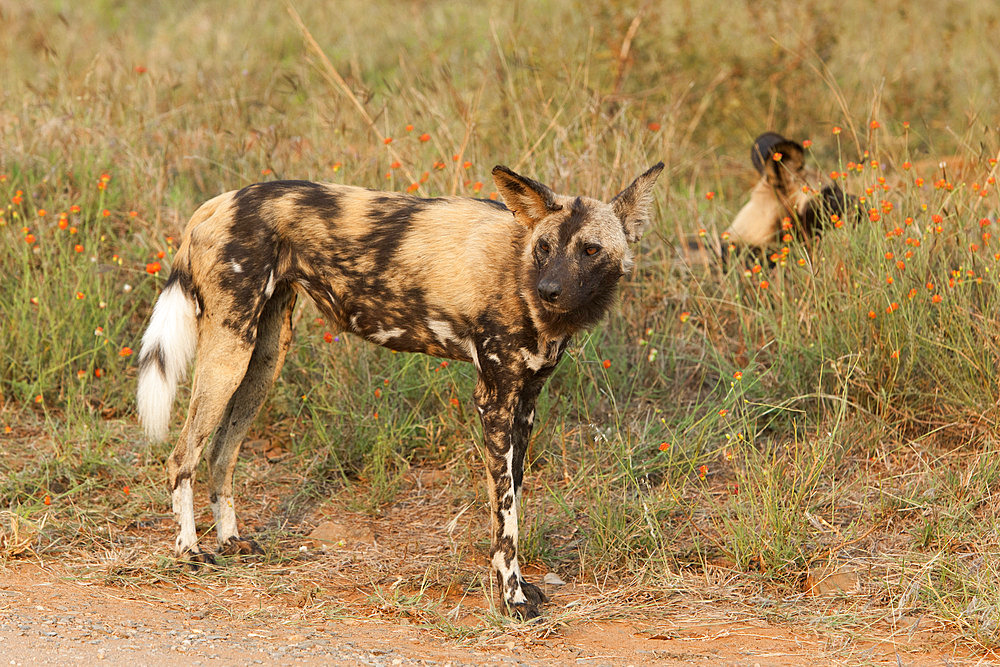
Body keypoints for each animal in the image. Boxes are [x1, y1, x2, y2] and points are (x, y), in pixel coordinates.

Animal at [135, 163, 664, 620]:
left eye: (590, 250)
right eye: (545, 247)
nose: (550, 289)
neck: (520, 271)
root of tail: (218, 201)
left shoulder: (526, 402)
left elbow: (512, 501)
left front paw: (518, 585)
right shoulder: (495, 401)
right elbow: (506, 517)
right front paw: (512, 598)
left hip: (262, 359)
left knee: (221, 452)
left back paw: (230, 541)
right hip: (229, 352)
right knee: (182, 456)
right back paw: (189, 551)